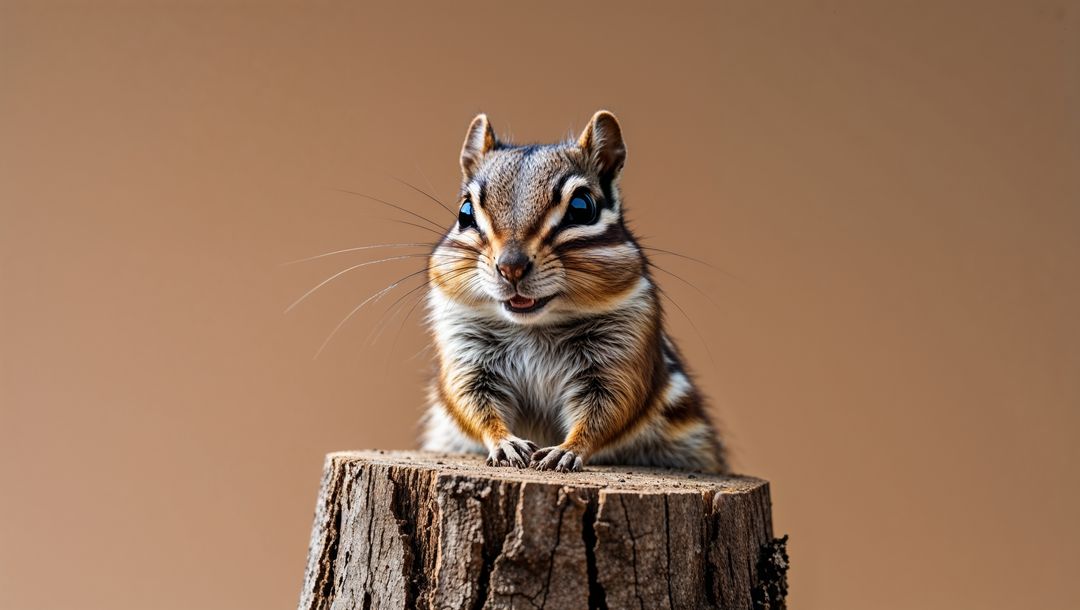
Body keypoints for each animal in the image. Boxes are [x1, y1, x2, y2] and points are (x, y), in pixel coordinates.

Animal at [420, 110, 728, 474]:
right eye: (465, 213)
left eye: (582, 208)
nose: (511, 266)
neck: (533, 328)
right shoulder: (466, 353)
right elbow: (471, 405)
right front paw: (505, 444)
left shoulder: (621, 355)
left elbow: (608, 411)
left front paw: (565, 451)